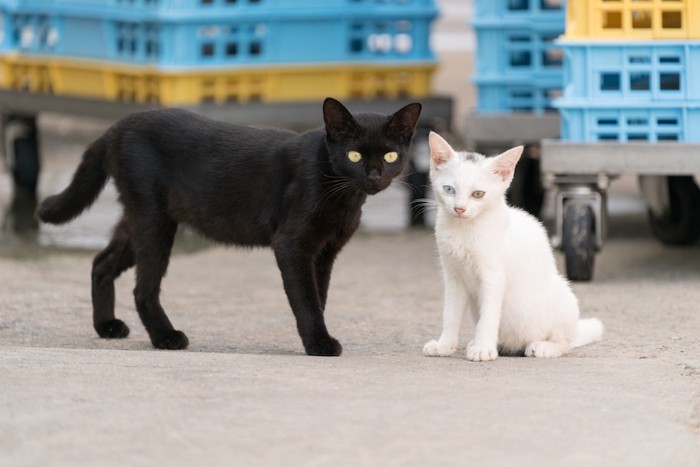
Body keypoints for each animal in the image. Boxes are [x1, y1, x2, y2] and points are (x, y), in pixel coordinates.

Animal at [37, 98, 422, 354]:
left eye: (390, 156)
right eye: (354, 155)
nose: (374, 176)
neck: (343, 195)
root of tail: (118, 125)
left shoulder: (324, 252)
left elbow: (319, 294)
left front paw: (314, 336)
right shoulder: (292, 244)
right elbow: (306, 297)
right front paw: (319, 342)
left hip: (140, 217)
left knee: (101, 262)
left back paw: (106, 326)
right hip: (153, 219)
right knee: (143, 288)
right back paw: (166, 337)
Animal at [422, 132, 600, 362]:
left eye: (478, 194)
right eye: (448, 189)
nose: (459, 208)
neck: (464, 230)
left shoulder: (494, 276)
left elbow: (489, 315)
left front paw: (483, 348)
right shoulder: (453, 276)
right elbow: (450, 314)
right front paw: (445, 345)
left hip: (562, 298)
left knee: (565, 343)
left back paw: (543, 346)